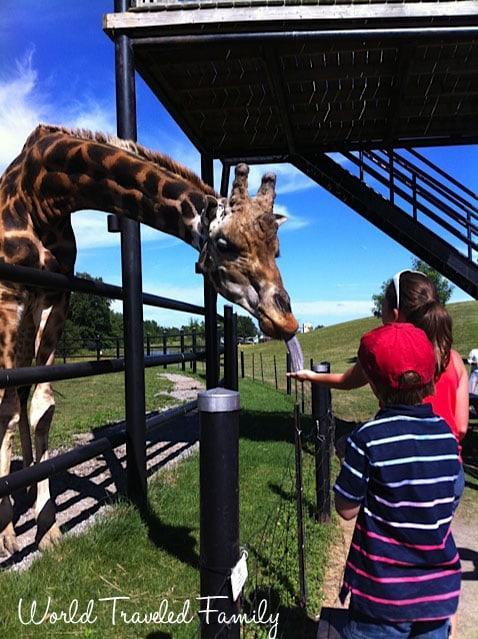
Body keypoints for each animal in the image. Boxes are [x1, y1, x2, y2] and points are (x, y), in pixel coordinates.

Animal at [0, 125, 298, 556]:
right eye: (225, 244)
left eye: (277, 249)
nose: (286, 320)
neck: (42, 192)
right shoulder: (9, 293)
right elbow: (6, 408)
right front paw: (8, 533)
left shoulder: (56, 295)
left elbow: (42, 405)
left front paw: (48, 528)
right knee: (11, 399)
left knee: (24, 394)